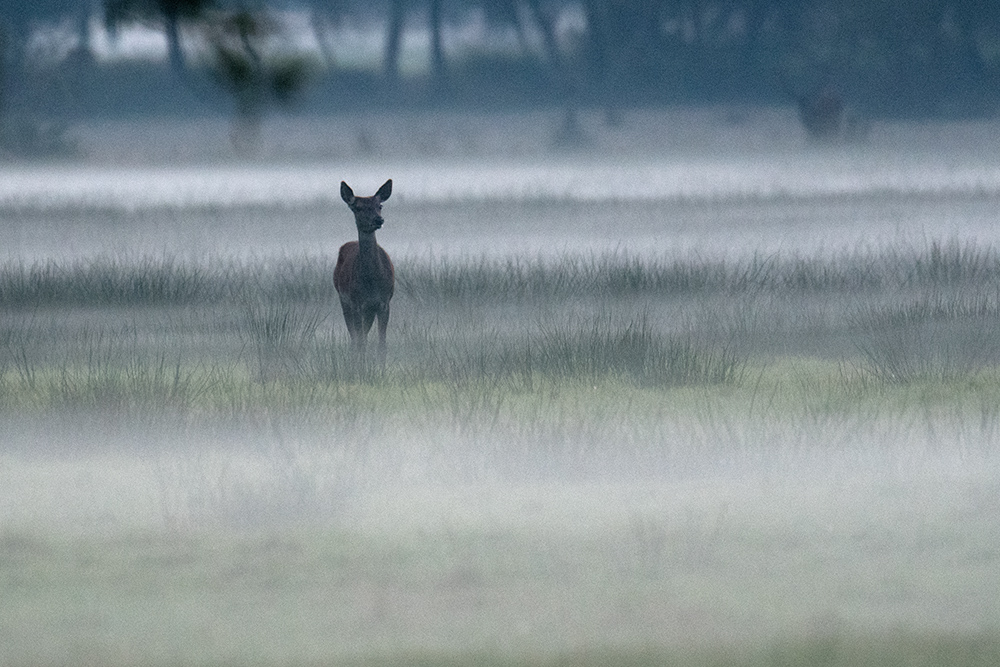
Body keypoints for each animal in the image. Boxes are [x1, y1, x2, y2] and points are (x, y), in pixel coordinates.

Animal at [338, 180, 396, 362]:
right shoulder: (357, 303)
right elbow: (361, 342)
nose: (379, 219)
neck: (371, 283)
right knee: (355, 338)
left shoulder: (384, 303)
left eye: (380, 205)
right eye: (357, 207)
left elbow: (382, 345)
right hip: (344, 301)